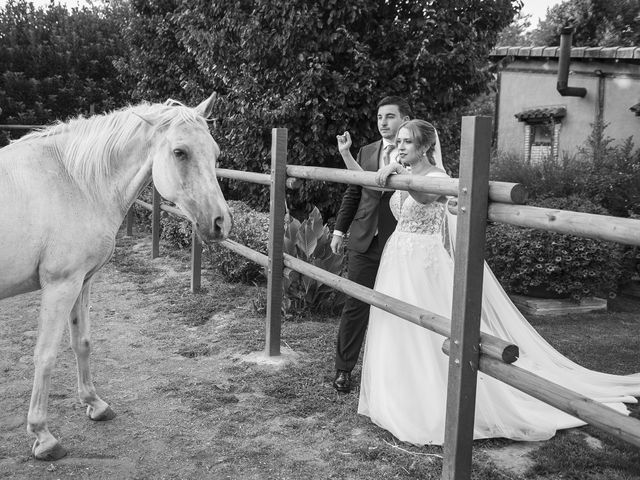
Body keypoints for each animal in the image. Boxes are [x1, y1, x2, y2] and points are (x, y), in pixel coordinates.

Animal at [0, 93, 234, 462]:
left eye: (215, 153)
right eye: (180, 152)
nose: (220, 223)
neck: (72, 183)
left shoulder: (82, 281)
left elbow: (81, 342)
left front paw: (95, 404)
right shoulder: (60, 285)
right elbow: (45, 355)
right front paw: (43, 436)